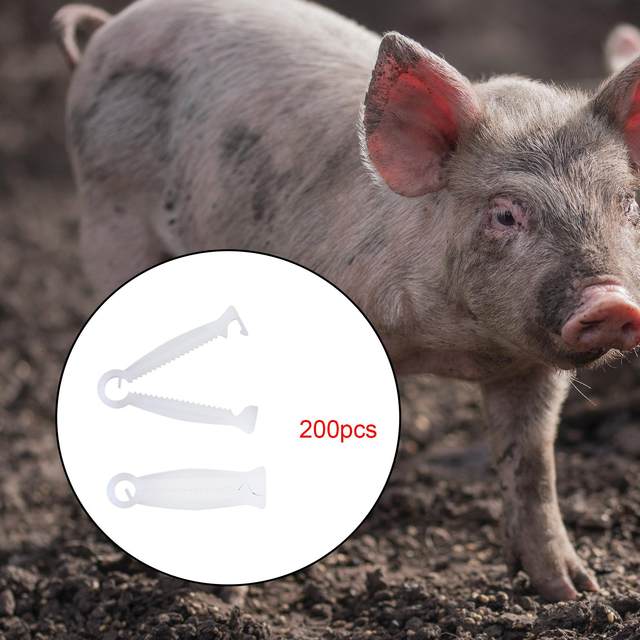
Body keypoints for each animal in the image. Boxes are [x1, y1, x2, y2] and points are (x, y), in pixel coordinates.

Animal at [54, 0, 640, 601]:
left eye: (626, 204)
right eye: (505, 213)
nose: (611, 303)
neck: (455, 346)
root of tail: (110, 27)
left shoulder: (529, 367)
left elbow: (534, 466)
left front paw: (577, 593)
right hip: (108, 222)